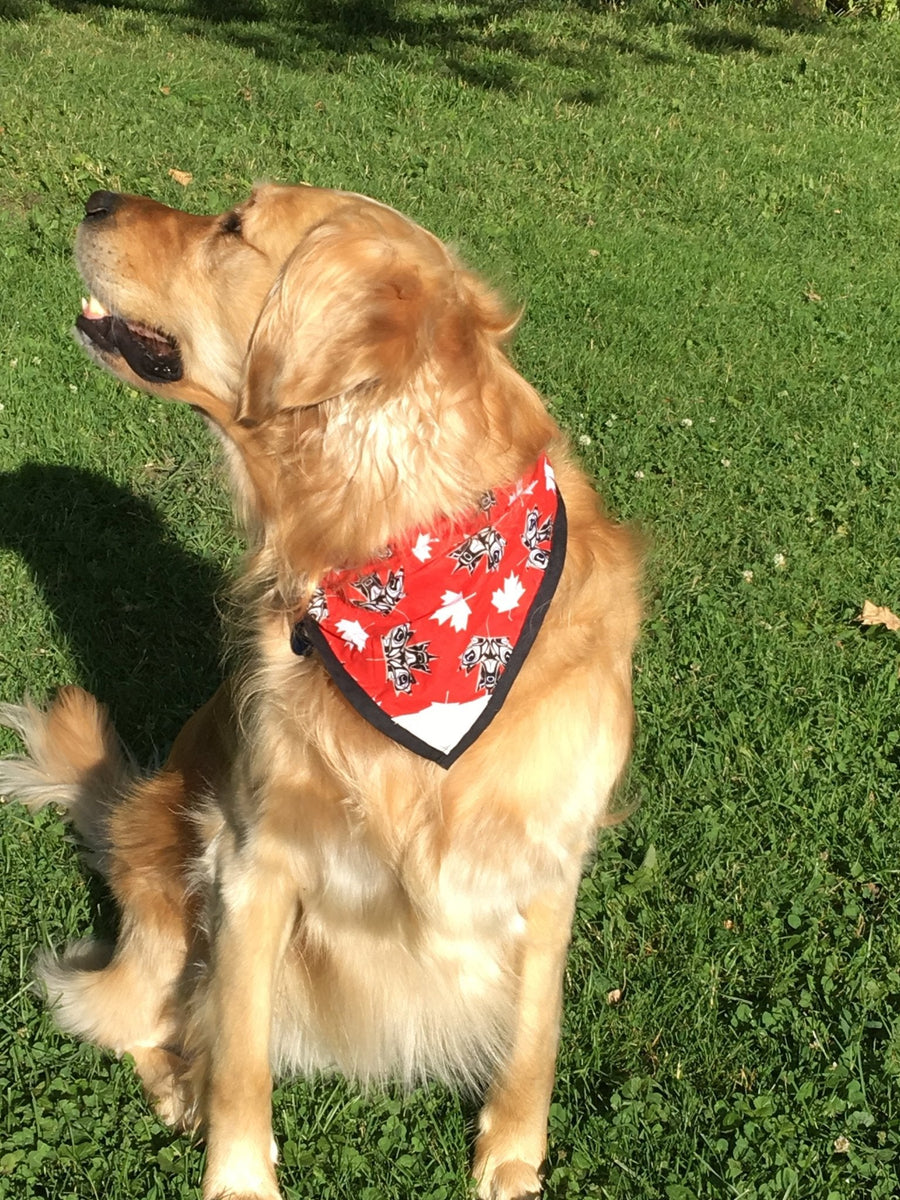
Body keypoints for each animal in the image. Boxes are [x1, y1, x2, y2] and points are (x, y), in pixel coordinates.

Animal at [0, 180, 643, 1200]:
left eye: (232, 228)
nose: (97, 199)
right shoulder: (250, 857)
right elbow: (241, 1055)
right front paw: (237, 1176)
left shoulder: (547, 863)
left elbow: (535, 1035)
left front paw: (511, 1157)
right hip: (163, 898)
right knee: (123, 1013)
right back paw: (175, 1082)